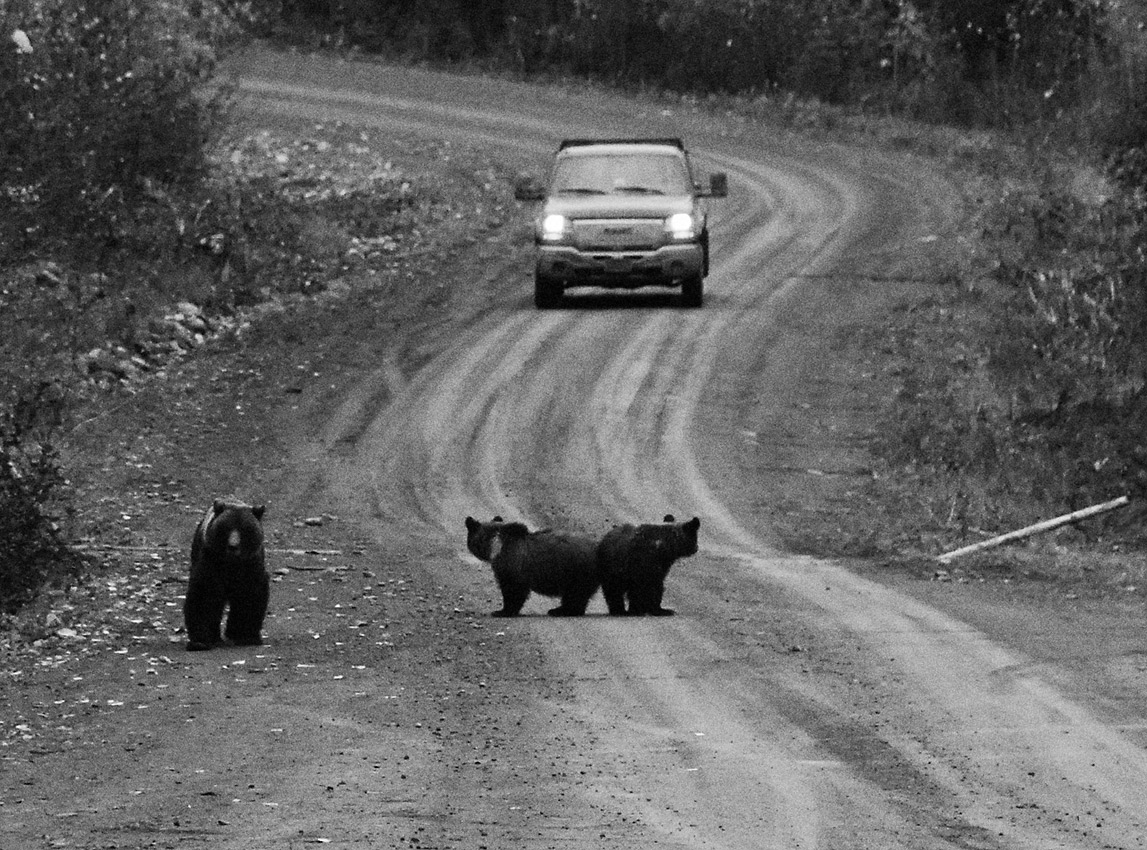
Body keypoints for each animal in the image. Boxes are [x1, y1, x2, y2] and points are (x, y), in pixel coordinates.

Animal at [185, 497, 270, 651]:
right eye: (226, 527)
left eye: (244, 528)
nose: (233, 546)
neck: (231, 563)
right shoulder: (210, 560)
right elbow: (204, 596)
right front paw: (200, 641)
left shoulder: (251, 565)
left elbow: (250, 595)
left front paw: (246, 636)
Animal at [463, 513, 601, 614]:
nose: (469, 518)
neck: (495, 547)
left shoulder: (513, 565)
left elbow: (513, 589)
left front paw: (503, 611)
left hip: (576, 570)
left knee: (575, 594)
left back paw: (561, 611)